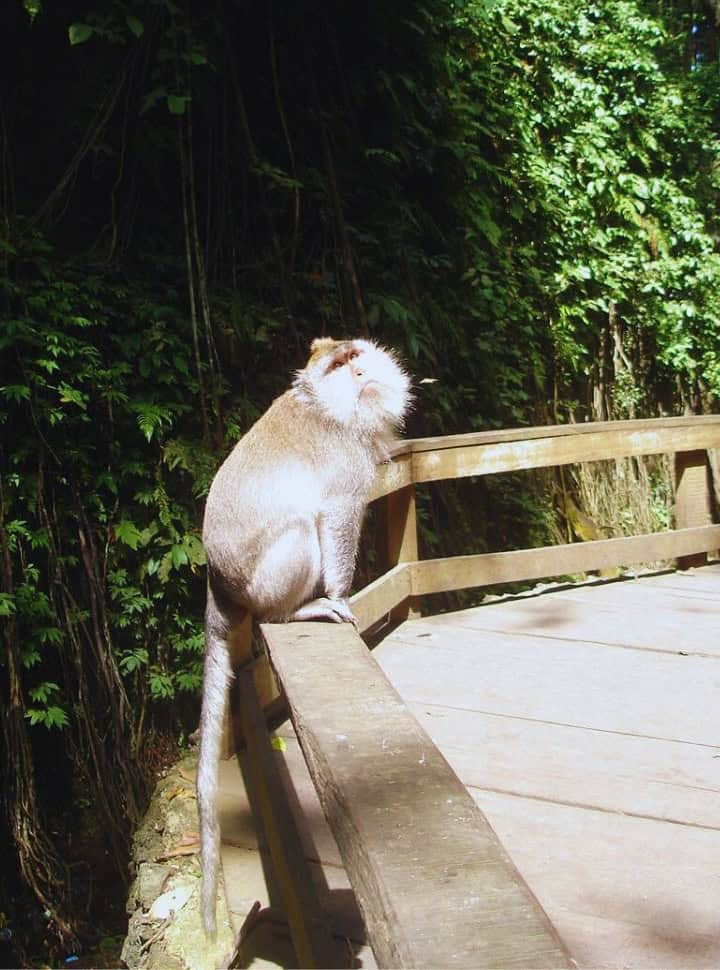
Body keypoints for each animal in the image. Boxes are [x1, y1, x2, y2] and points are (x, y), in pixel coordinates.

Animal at [197, 336, 411, 937]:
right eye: (340, 365)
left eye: (356, 355)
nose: (360, 371)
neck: (329, 410)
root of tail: (219, 585)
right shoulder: (345, 464)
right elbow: (335, 516)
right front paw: (338, 594)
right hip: (265, 580)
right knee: (296, 530)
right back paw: (298, 610)